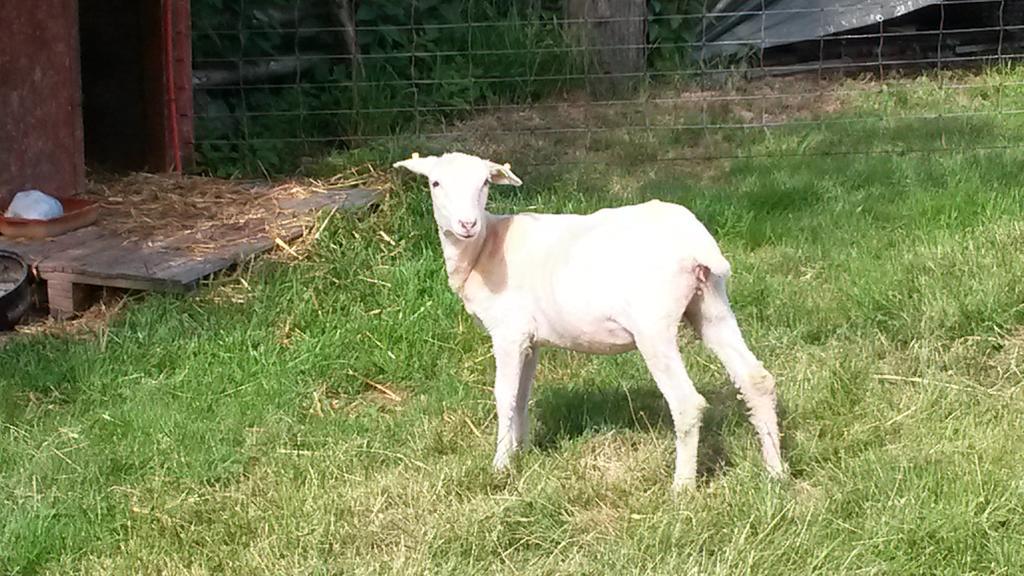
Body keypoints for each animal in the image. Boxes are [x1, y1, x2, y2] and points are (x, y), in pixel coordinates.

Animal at [391, 150, 782, 485]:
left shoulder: (508, 331)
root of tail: (696, 243)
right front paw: (521, 452)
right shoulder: (531, 339)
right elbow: (522, 395)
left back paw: (682, 487)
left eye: (485, 183)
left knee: (687, 402)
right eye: (435, 183)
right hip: (711, 305)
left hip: (654, 324)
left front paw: (500, 465)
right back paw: (776, 472)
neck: (483, 249)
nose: (467, 223)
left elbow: (504, 395)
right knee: (757, 379)